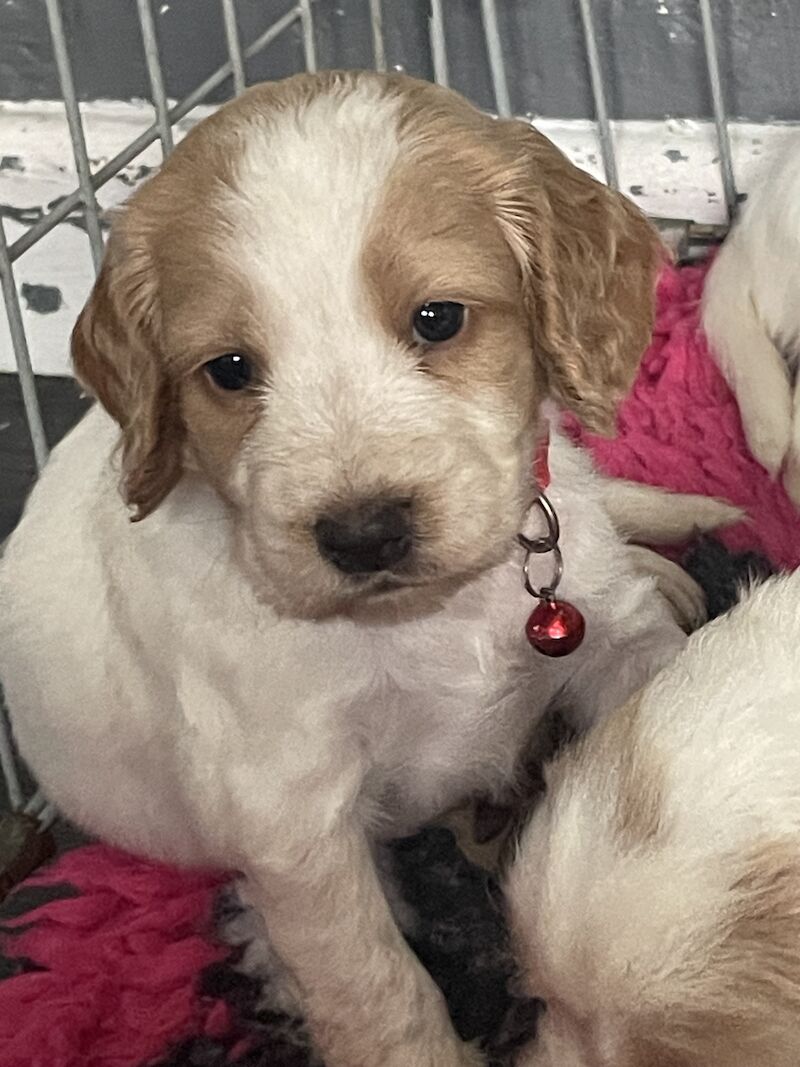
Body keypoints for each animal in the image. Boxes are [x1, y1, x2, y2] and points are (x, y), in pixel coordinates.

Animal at [0, 70, 738, 1062]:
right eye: (229, 369)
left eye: (438, 318)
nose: (362, 533)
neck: (429, 614)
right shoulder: (293, 813)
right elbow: (376, 986)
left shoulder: (614, 646)